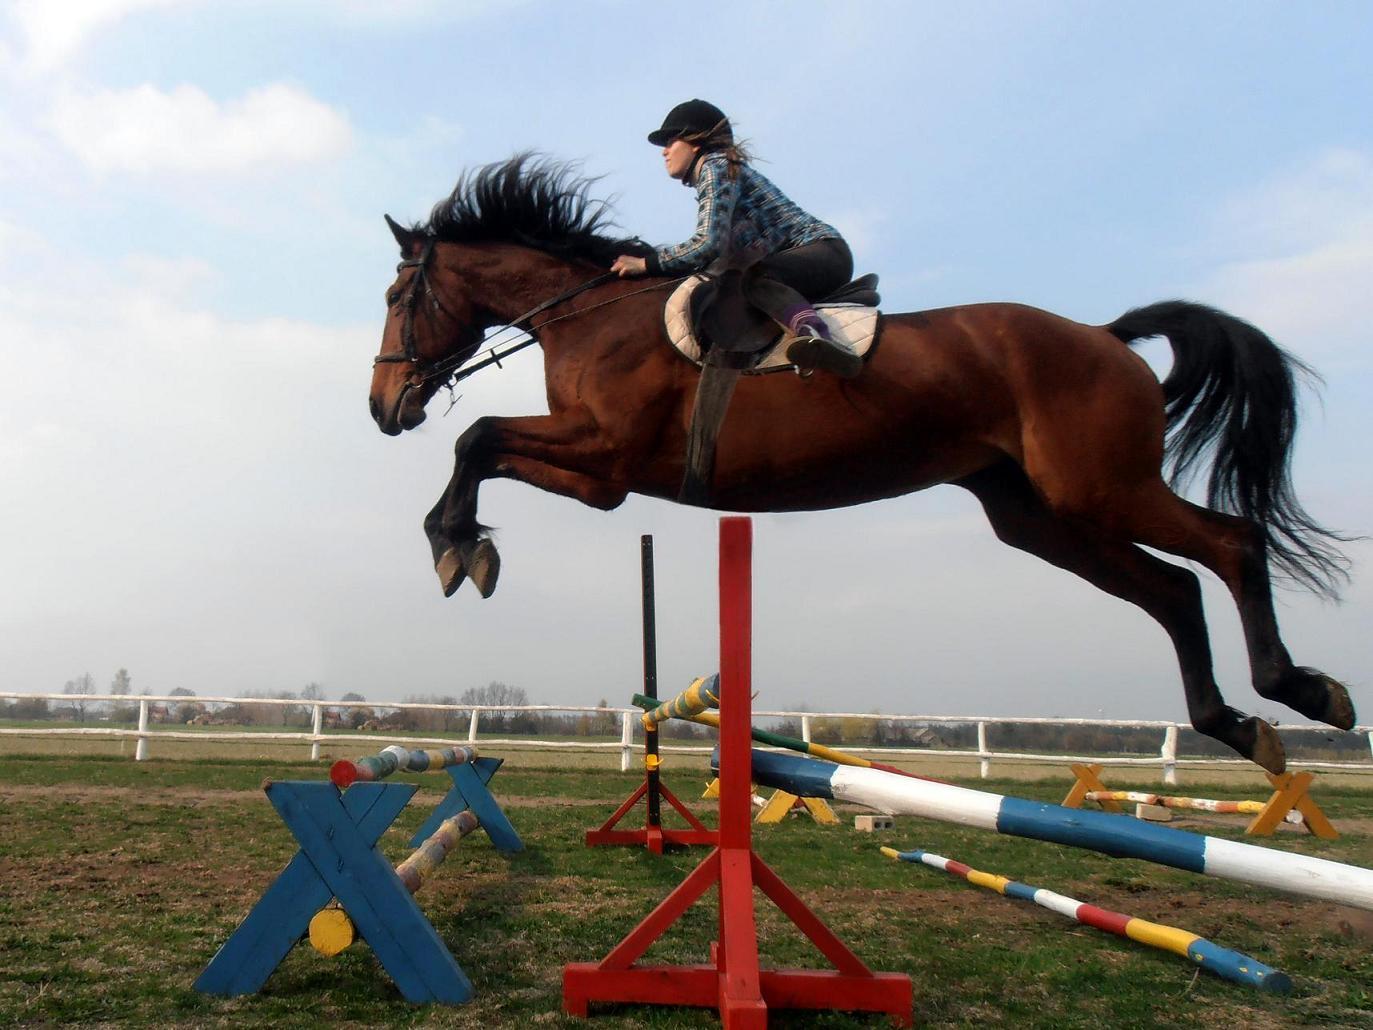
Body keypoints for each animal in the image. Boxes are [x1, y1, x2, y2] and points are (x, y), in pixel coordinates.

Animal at [370, 155, 1356, 774]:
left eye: (395, 294)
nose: (384, 408)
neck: (589, 315)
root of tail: (1103, 336)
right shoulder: (602, 478)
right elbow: (481, 445)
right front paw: (464, 547)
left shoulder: (604, 452)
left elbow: (476, 437)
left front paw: (457, 548)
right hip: (1038, 516)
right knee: (1172, 590)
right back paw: (1238, 727)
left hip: (1099, 488)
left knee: (1229, 544)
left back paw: (1301, 690)